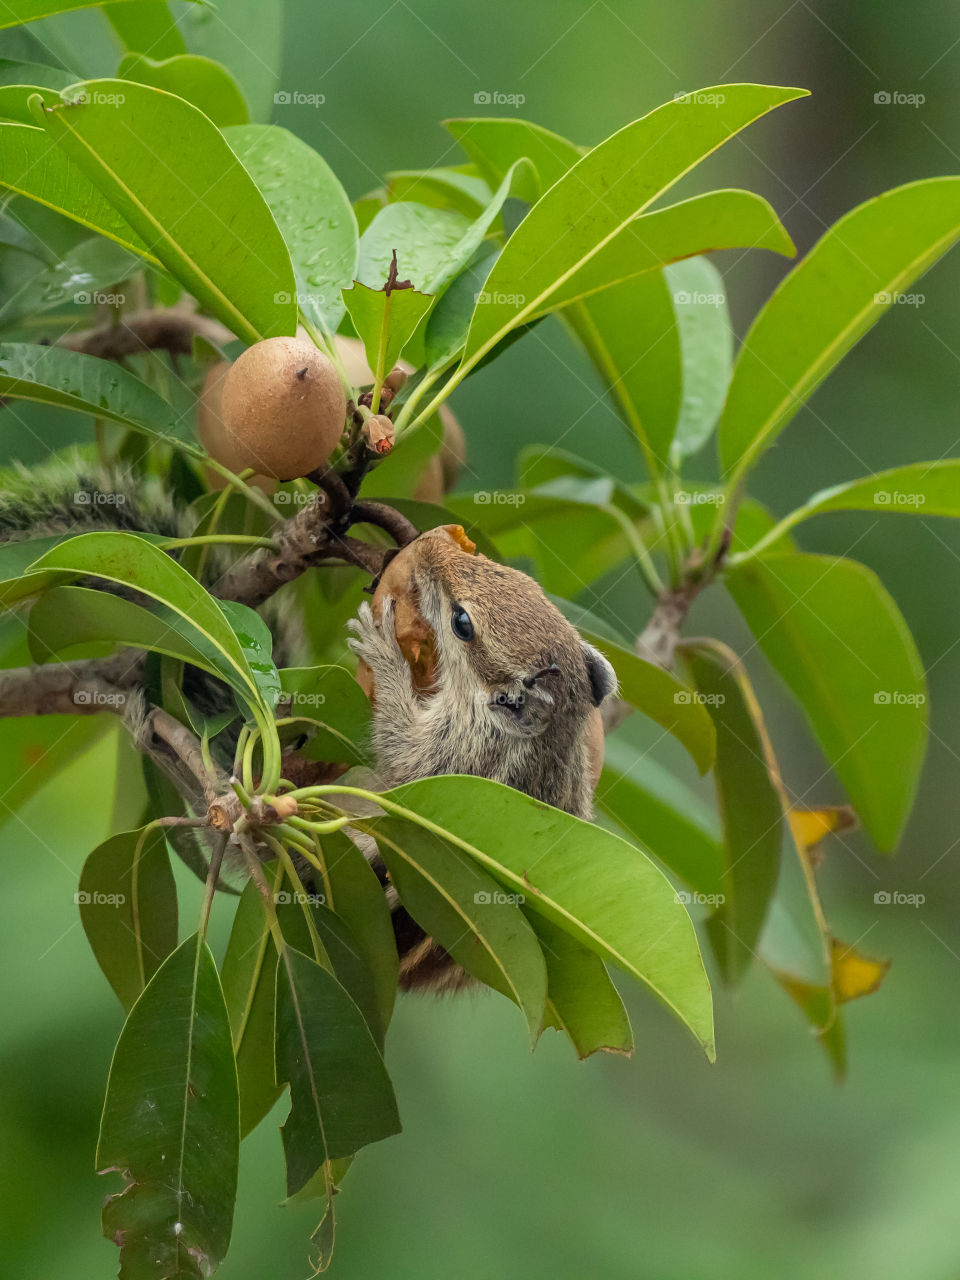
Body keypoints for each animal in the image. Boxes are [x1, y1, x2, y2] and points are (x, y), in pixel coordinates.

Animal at [0, 464, 616, 992]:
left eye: (462, 622)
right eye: (511, 576)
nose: (430, 548)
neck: (542, 738)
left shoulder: (458, 752)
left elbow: (400, 747)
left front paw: (383, 652)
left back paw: (156, 739)